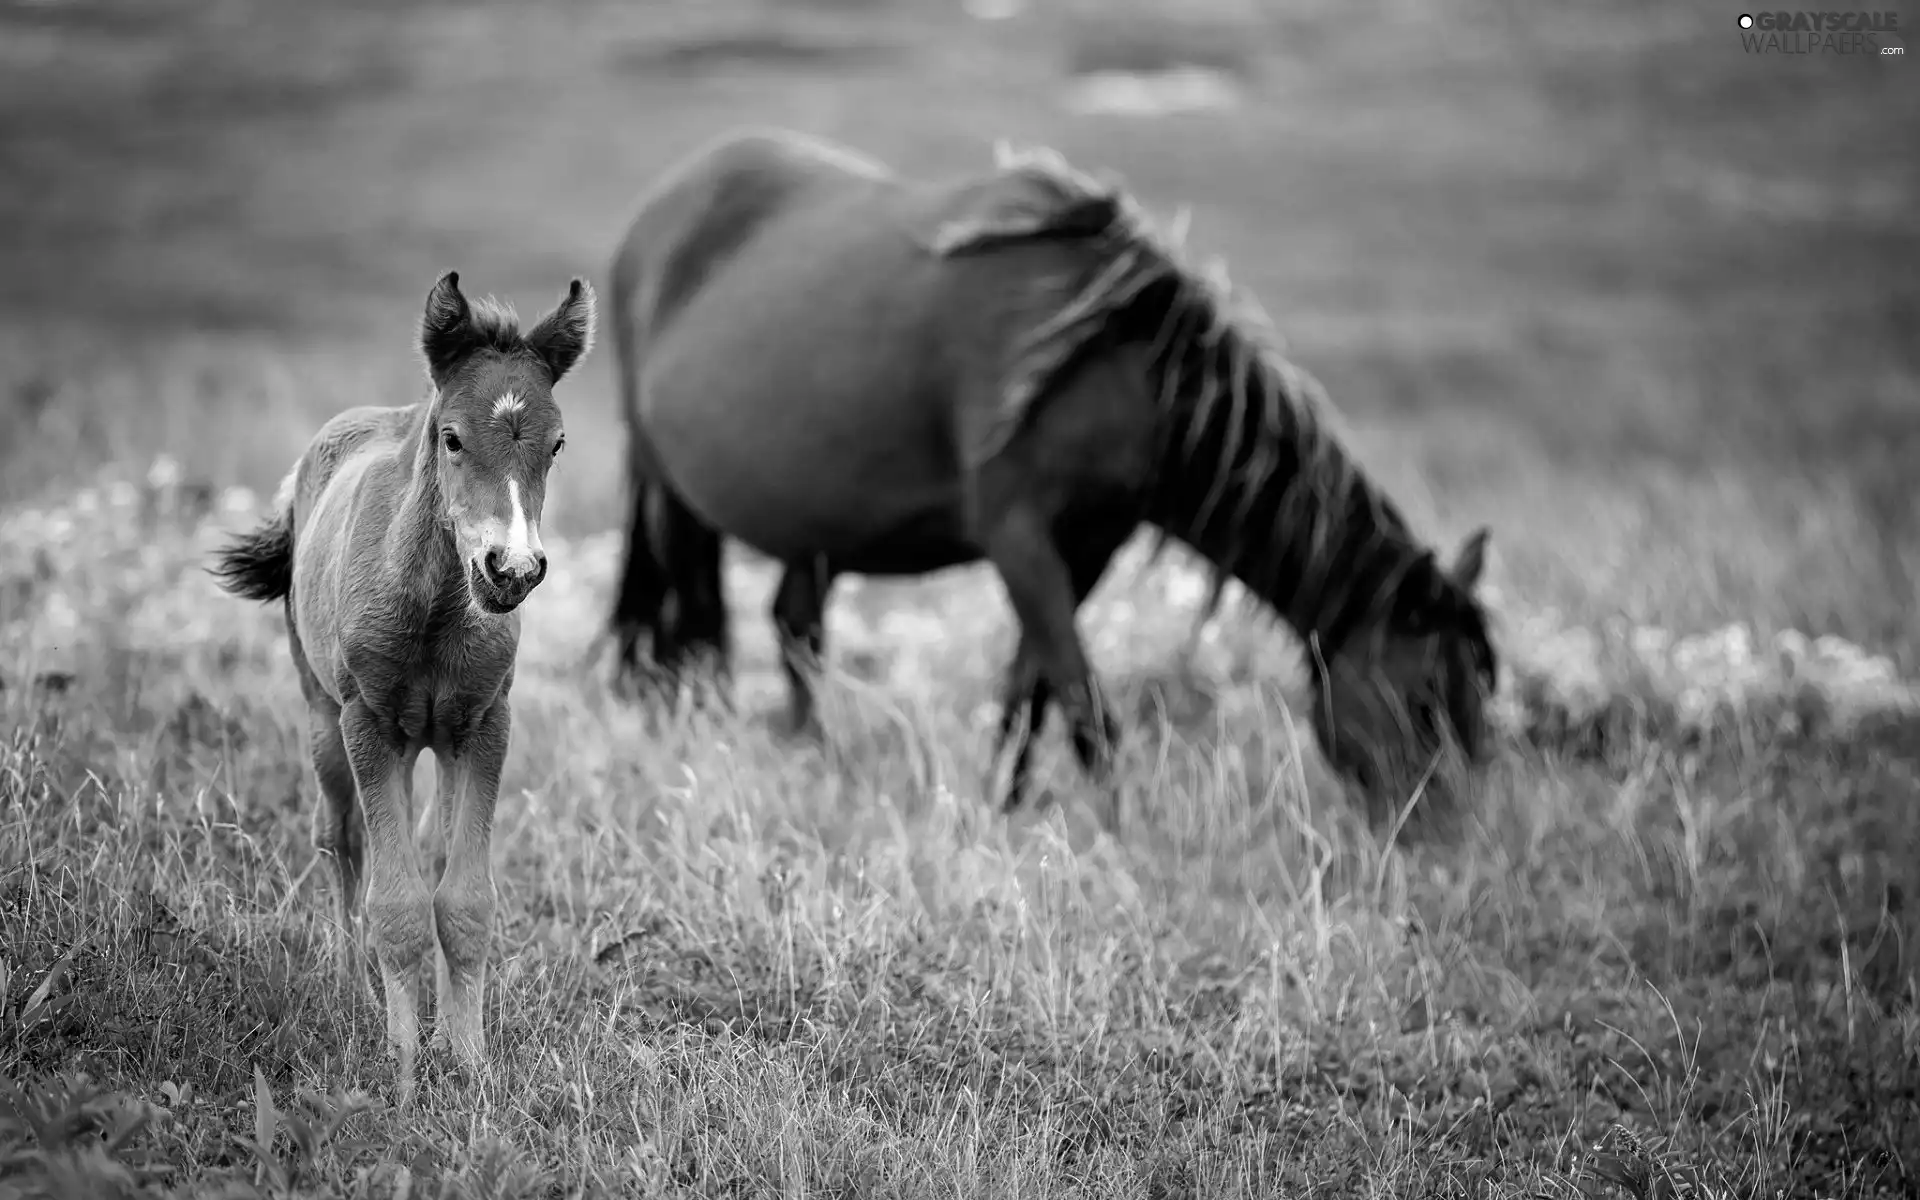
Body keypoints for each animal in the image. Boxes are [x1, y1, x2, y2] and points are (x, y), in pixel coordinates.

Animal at [209, 268, 591, 1098]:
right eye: (451, 437)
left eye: (556, 443)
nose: (512, 571)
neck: (437, 608)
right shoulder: (370, 724)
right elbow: (396, 901)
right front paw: (404, 1066)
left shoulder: (484, 724)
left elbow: (463, 897)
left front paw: (468, 1058)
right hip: (324, 714)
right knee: (340, 837)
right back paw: (353, 985)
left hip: (433, 740)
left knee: (432, 850)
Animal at [606, 130, 1489, 821]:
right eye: (1425, 702)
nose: (1448, 841)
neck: (1119, 367)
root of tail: (653, 218)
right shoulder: (1019, 537)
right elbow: (1081, 697)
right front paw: (1122, 831)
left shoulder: (1087, 545)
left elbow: (1030, 687)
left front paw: (1005, 805)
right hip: (671, 495)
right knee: (698, 632)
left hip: (814, 526)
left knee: (794, 628)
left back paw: (816, 755)